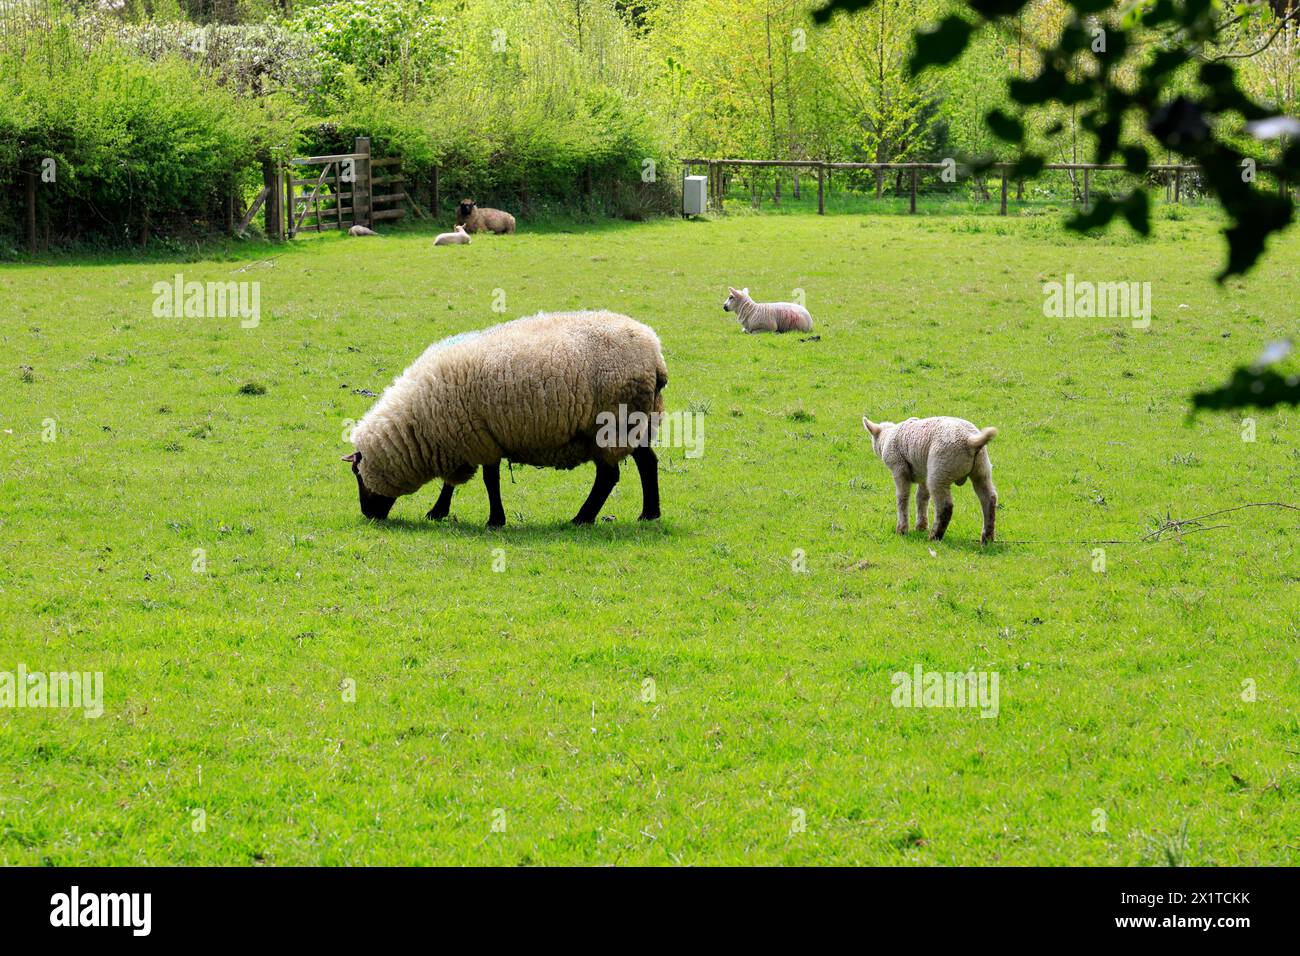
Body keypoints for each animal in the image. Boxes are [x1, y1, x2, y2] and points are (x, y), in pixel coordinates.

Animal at [343, 310, 670, 528]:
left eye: (357, 474)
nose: (368, 515)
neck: (419, 422)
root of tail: (655, 354)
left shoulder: (477, 439)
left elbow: (489, 481)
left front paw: (494, 520)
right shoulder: (465, 440)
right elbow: (453, 482)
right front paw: (438, 512)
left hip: (612, 425)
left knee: (608, 475)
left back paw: (582, 518)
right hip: (638, 423)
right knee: (647, 463)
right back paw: (649, 514)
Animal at [857, 413, 998, 541]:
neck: (887, 437)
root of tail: (970, 440)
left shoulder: (899, 468)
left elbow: (902, 498)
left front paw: (902, 529)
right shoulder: (923, 473)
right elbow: (922, 498)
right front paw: (921, 526)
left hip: (940, 470)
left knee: (945, 506)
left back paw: (935, 536)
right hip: (981, 468)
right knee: (989, 498)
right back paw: (987, 538)